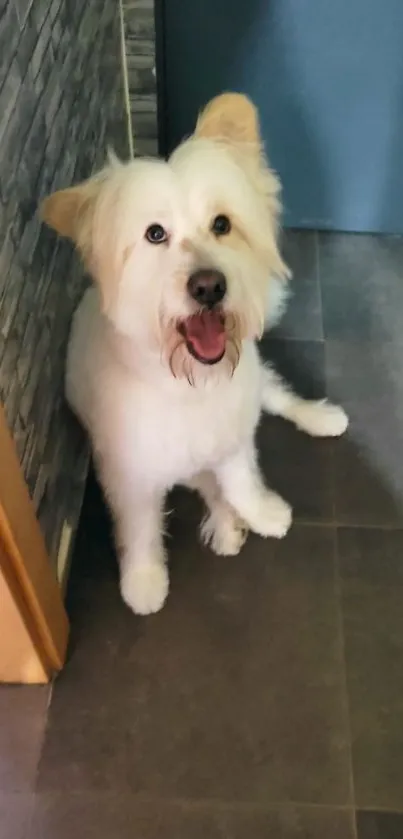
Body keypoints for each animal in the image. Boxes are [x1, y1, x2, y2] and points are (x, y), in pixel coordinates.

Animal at [42, 95, 348, 616]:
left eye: (222, 224)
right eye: (155, 234)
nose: (209, 286)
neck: (188, 385)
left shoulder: (233, 433)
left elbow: (242, 478)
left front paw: (262, 510)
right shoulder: (130, 472)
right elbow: (141, 527)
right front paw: (144, 578)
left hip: (256, 389)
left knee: (278, 395)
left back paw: (319, 418)